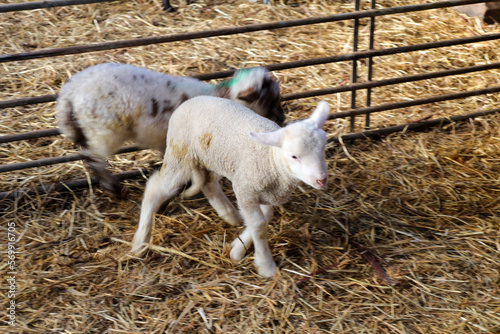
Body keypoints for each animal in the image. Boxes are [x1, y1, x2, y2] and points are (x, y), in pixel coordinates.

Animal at [56, 63, 284, 197]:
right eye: (267, 100)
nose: (281, 119)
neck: (221, 96)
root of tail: (70, 91)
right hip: (104, 130)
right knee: (92, 156)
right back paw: (113, 188)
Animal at [131, 96, 330, 276]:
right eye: (294, 156)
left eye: (322, 148)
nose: (322, 180)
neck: (271, 158)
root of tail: (190, 100)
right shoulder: (245, 189)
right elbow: (259, 224)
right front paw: (265, 265)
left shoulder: (265, 192)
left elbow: (264, 217)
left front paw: (237, 247)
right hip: (180, 153)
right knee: (155, 189)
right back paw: (140, 242)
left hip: (212, 159)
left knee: (208, 183)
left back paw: (230, 215)